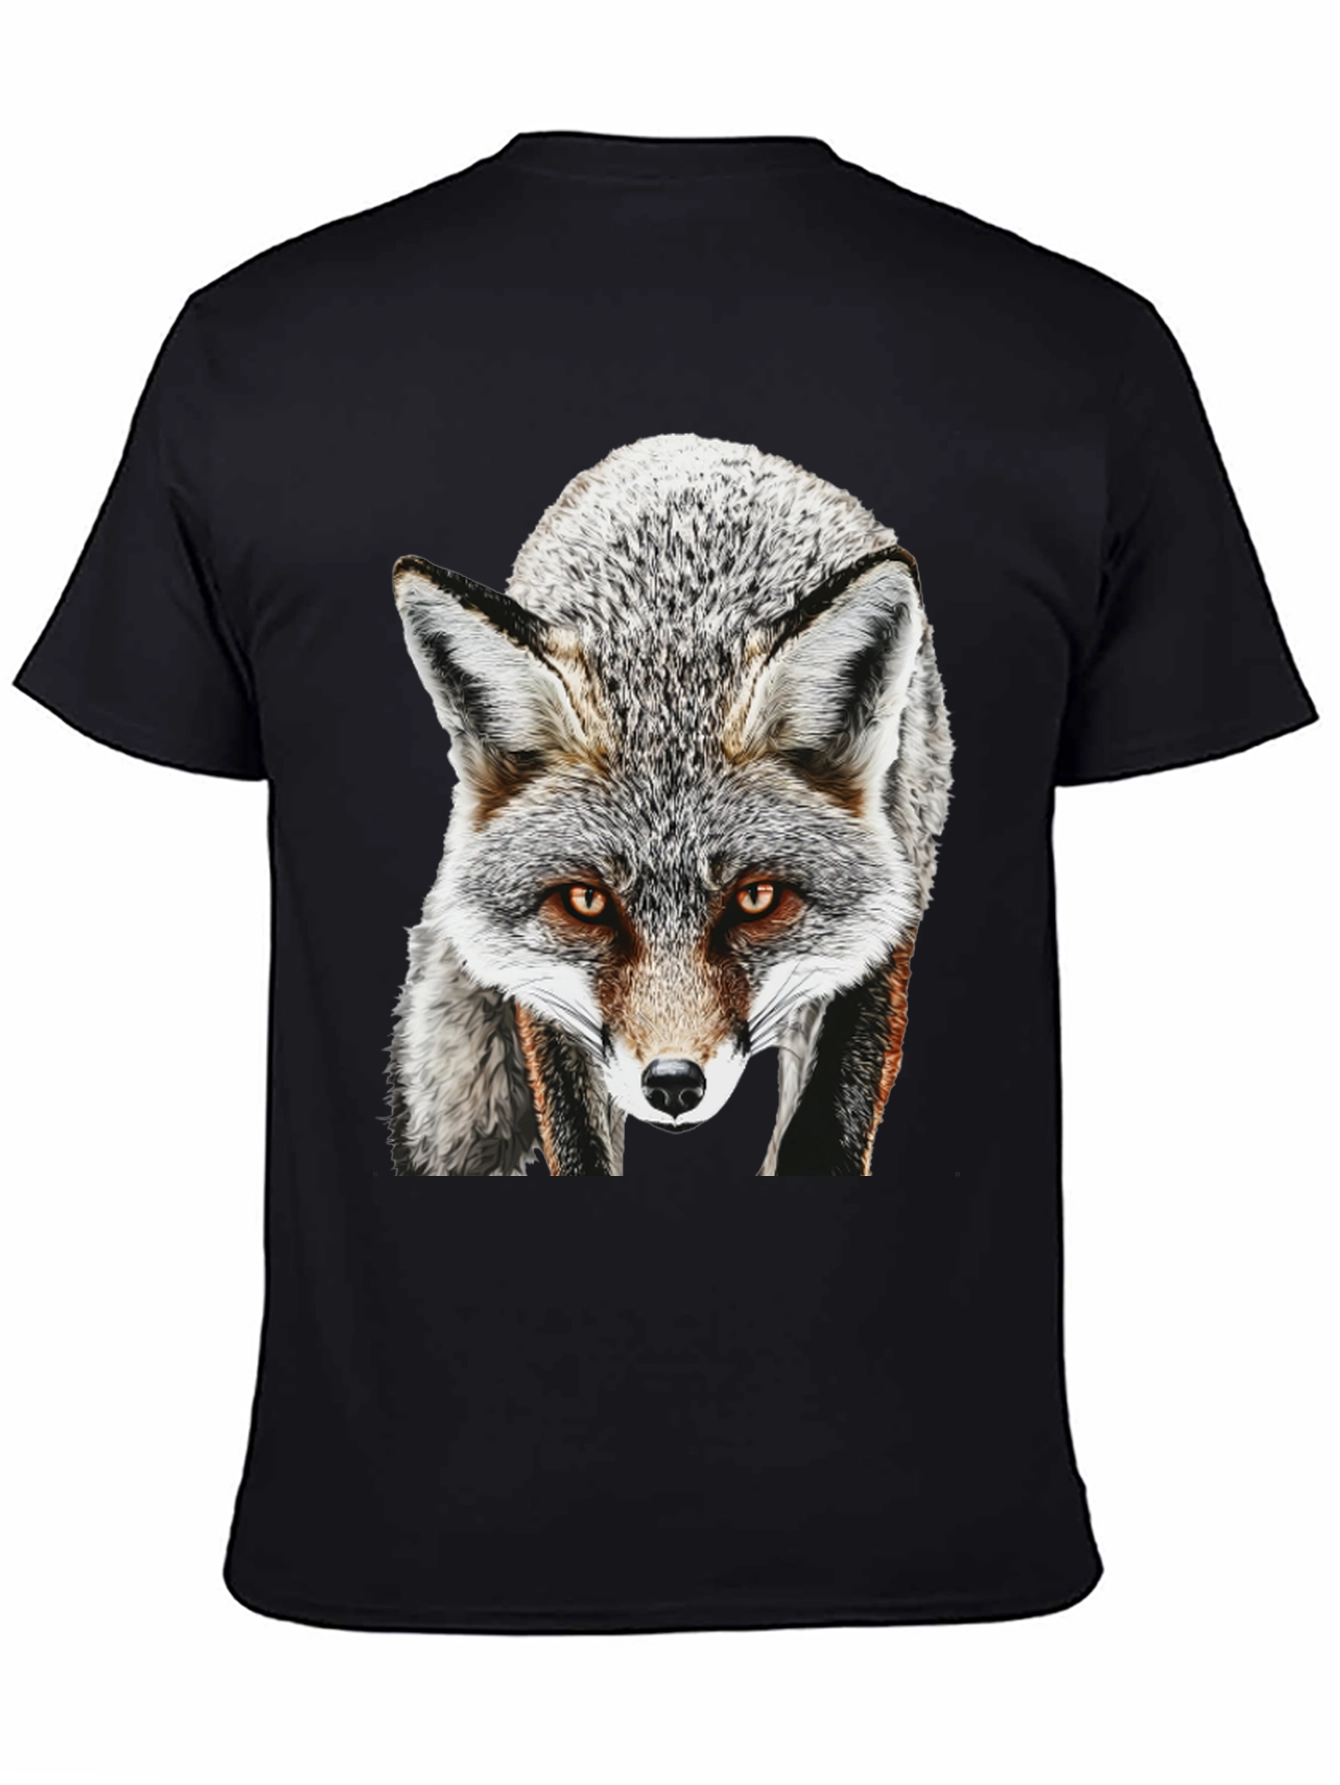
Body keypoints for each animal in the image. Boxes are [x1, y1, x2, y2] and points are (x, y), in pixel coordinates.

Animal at [390, 434, 953, 1177]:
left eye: (757, 897)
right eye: (586, 901)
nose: (674, 1084)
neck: (675, 632)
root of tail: (688, 445)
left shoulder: (882, 930)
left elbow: (822, 1137)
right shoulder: (546, 992)